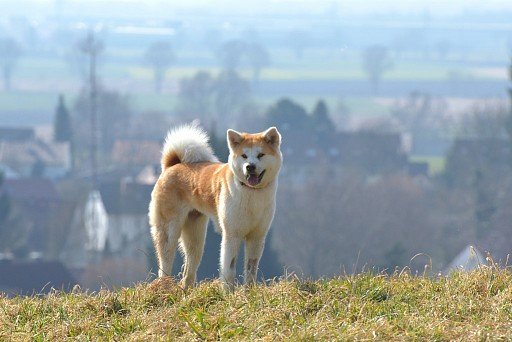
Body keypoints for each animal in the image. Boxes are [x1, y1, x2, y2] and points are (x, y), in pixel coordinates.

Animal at [148, 123, 284, 292]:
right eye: (244, 156)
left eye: (261, 155)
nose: (250, 167)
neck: (251, 193)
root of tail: (172, 166)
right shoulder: (232, 235)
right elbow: (229, 269)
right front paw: (228, 293)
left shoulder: (257, 237)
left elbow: (251, 269)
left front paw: (249, 292)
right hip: (169, 232)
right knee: (165, 265)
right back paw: (164, 289)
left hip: (196, 237)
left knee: (188, 269)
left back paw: (187, 291)